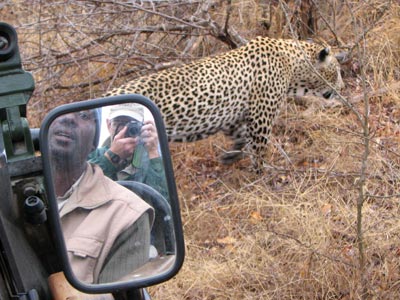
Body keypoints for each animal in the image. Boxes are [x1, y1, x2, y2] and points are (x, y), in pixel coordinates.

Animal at [104, 36, 346, 172]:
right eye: (336, 71)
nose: (343, 88)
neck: (293, 65)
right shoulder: (261, 120)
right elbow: (259, 151)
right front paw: (263, 177)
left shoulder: (236, 119)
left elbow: (241, 139)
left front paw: (230, 157)